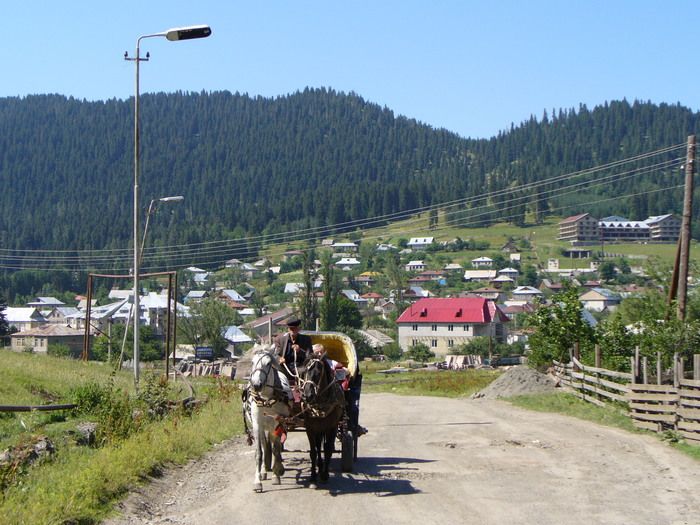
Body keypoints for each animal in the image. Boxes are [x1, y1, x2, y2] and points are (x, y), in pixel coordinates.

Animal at [245, 344, 292, 492]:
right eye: (252, 362)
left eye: (268, 363)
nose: (256, 385)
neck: (266, 399)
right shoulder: (257, 424)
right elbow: (259, 453)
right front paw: (257, 481)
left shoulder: (276, 423)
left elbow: (276, 449)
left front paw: (277, 475)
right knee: (265, 446)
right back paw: (264, 471)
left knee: (272, 445)